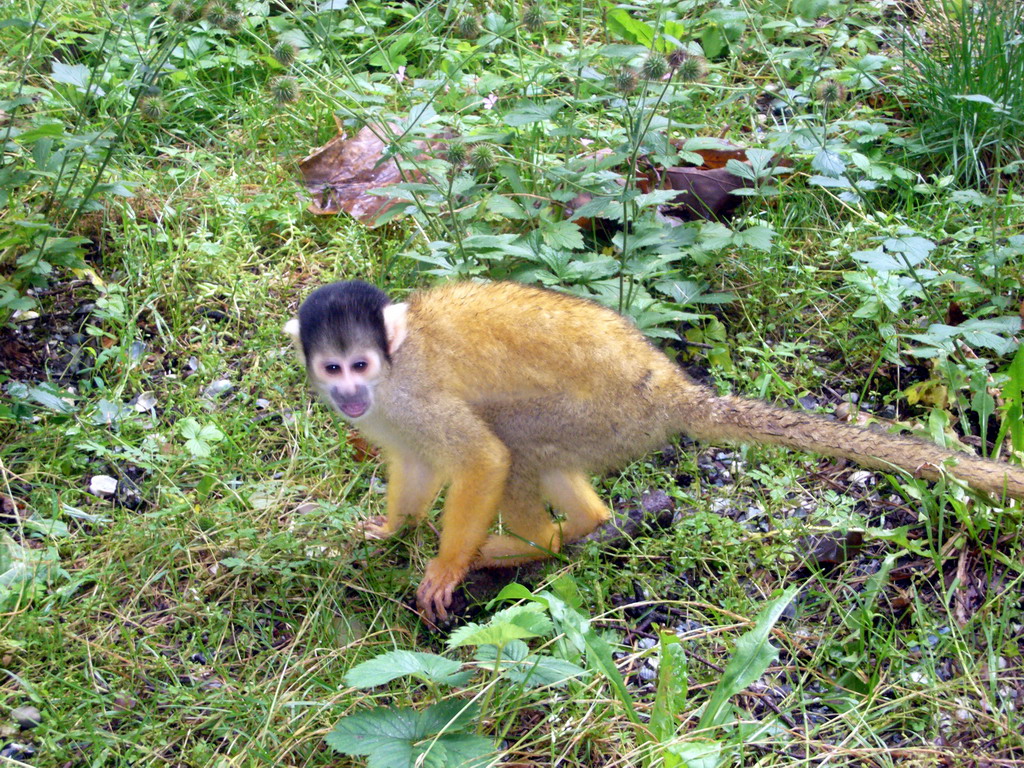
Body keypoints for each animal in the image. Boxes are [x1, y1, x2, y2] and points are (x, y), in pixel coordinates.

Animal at [284, 280, 1024, 622]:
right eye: (331, 369)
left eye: (359, 364)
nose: (348, 394)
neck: (390, 374)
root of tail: (667, 385)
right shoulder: (387, 416)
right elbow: (413, 466)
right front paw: (391, 528)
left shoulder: (413, 395)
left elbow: (480, 460)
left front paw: (444, 565)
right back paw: (588, 526)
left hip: (599, 414)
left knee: (515, 445)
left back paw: (532, 545)